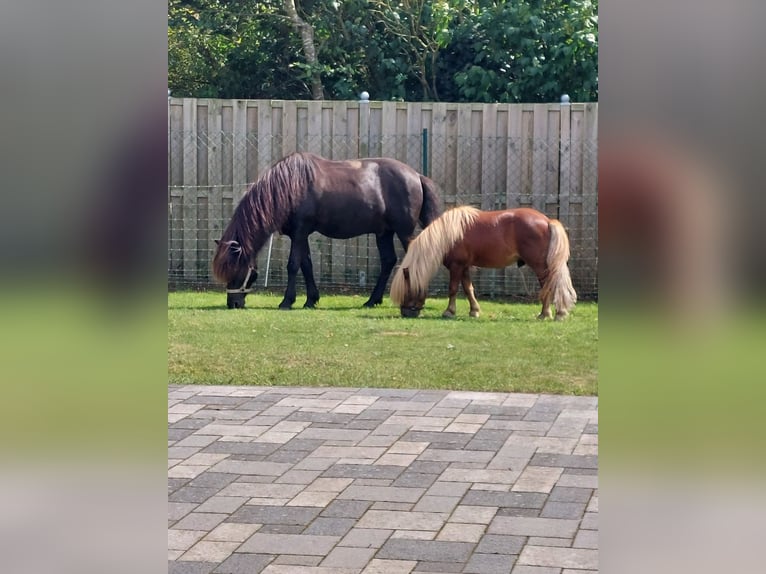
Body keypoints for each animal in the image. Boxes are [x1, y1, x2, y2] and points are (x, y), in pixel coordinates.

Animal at [212, 152, 442, 309]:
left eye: (235, 269)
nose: (233, 303)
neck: (289, 187)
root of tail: (416, 175)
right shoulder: (301, 235)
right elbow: (306, 265)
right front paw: (310, 300)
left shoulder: (299, 232)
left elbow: (293, 265)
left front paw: (287, 301)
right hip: (383, 233)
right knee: (388, 261)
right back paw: (372, 300)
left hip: (404, 232)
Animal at [390, 205, 577, 320]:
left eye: (407, 290)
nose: (405, 313)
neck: (447, 235)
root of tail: (547, 221)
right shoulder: (464, 267)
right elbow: (468, 289)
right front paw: (474, 311)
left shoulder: (456, 266)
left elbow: (453, 289)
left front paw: (449, 311)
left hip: (539, 266)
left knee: (548, 286)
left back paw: (547, 314)